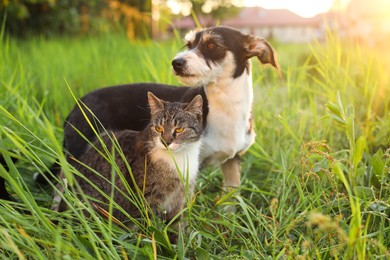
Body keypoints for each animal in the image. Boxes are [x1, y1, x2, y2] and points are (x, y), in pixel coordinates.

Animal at [37, 25, 280, 193]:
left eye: (212, 45)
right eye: (189, 45)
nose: (176, 62)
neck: (224, 106)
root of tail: (77, 104)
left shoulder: (232, 161)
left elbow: (230, 200)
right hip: (76, 153)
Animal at [70, 92, 204, 226]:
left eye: (179, 129)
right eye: (158, 128)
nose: (165, 142)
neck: (178, 158)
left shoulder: (179, 201)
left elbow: (175, 225)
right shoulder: (145, 201)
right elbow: (145, 227)